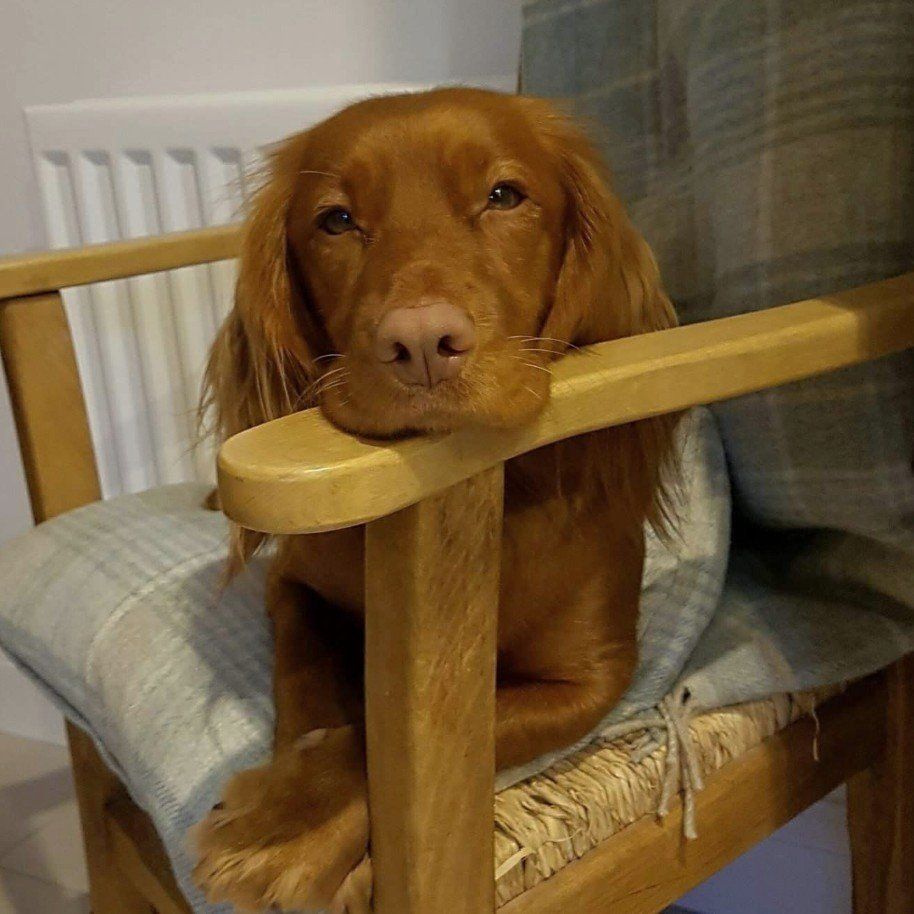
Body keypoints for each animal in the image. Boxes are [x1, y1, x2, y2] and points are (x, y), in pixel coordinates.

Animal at [192, 87, 676, 912]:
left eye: (504, 195)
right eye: (336, 220)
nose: (421, 343)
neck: (489, 499)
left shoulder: (591, 679)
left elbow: (393, 734)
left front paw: (286, 831)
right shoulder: (292, 585)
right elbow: (312, 686)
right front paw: (289, 809)